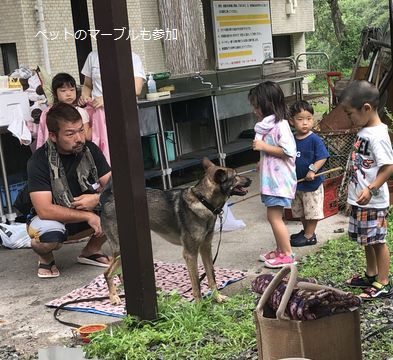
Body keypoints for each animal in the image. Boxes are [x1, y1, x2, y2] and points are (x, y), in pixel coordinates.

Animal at [101, 158, 251, 304]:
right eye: (235, 175)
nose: (250, 180)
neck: (204, 201)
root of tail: (107, 198)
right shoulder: (190, 254)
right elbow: (196, 285)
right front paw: (199, 307)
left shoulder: (206, 248)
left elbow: (211, 276)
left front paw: (217, 297)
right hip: (121, 250)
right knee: (107, 273)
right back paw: (113, 297)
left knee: (119, 272)